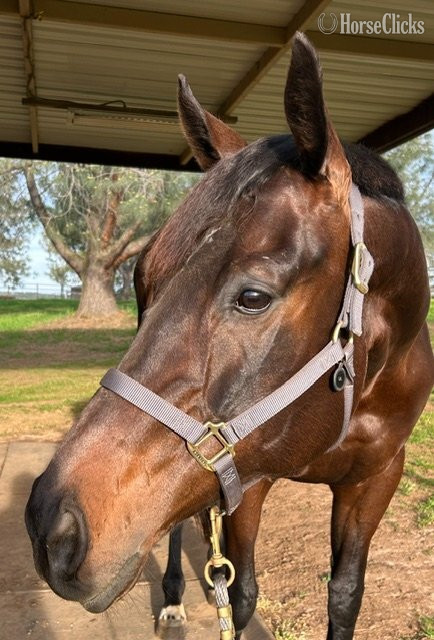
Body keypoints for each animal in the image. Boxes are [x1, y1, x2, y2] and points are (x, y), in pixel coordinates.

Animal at [25, 33, 433, 640]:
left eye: (253, 297)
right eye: (141, 281)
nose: (51, 527)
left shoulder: (377, 479)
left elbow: (344, 596)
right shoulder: (247, 481)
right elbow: (240, 594)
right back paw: (173, 599)